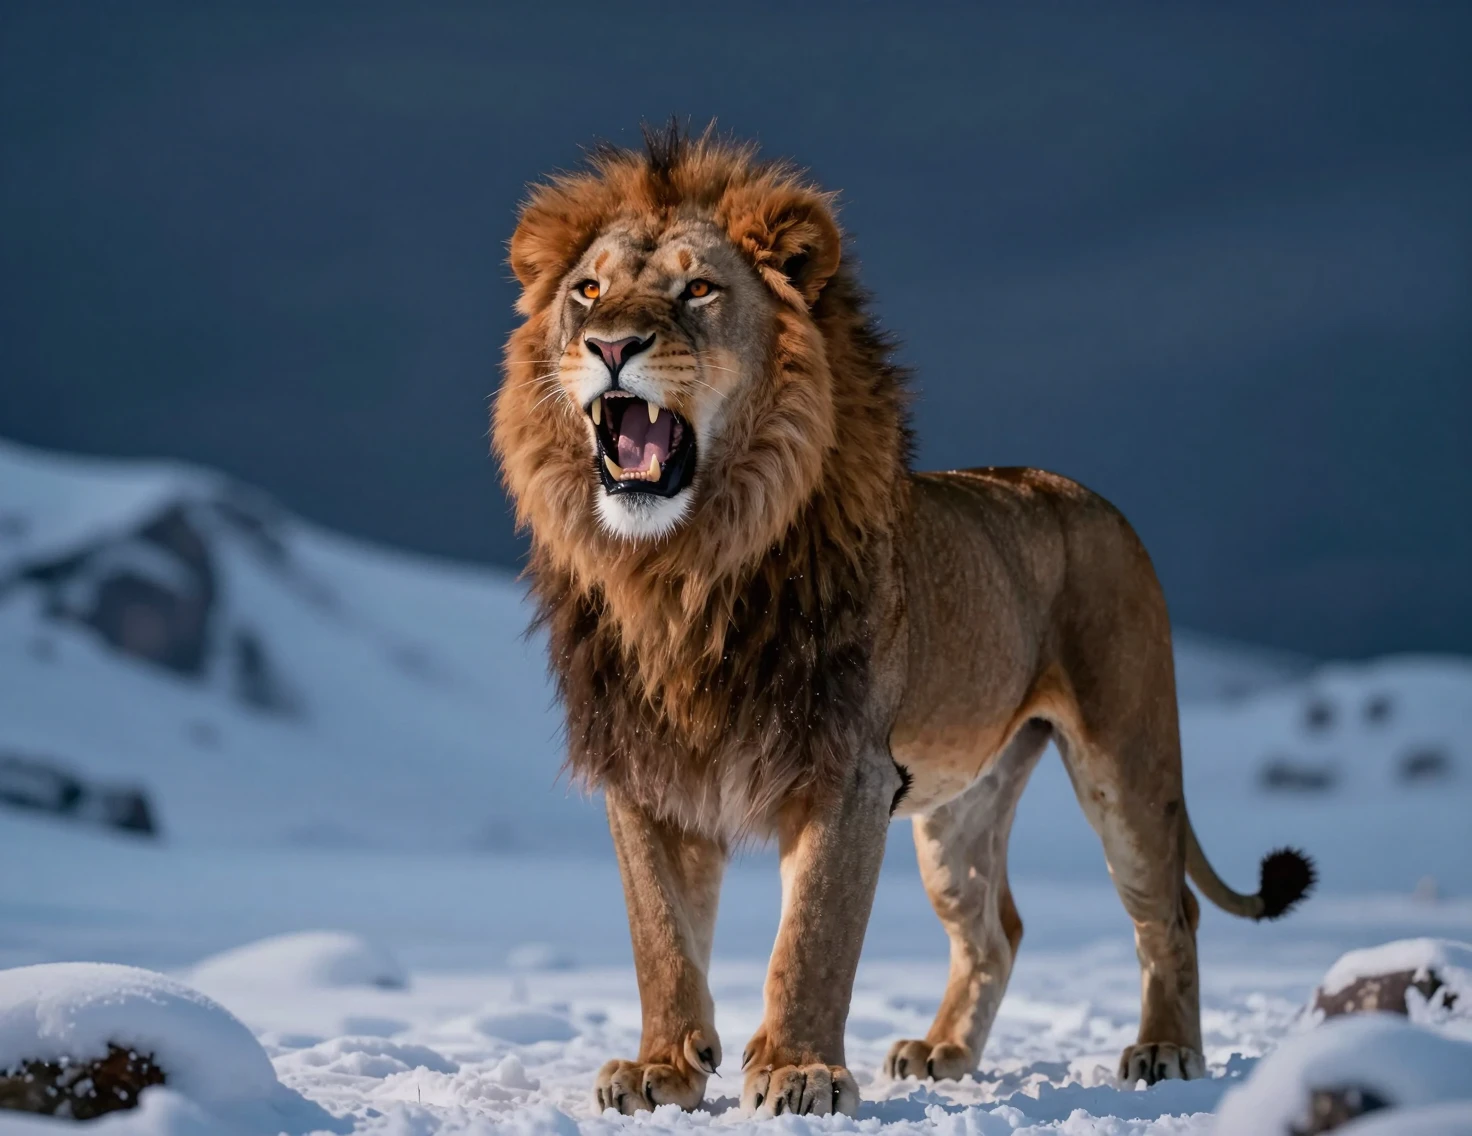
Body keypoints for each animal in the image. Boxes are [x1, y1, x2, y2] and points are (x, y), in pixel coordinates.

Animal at [491, 124, 1314, 1117]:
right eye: (588, 290)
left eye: (698, 290)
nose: (611, 343)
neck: (685, 570)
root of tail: (1084, 494)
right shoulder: (646, 769)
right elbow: (659, 935)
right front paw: (660, 1069)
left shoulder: (847, 769)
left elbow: (812, 938)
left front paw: (798, 1071)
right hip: (959, 808)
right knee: (997, 927)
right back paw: (942, 1052)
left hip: (1126, 758)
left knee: (1168, 911)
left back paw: (1164, 1051)